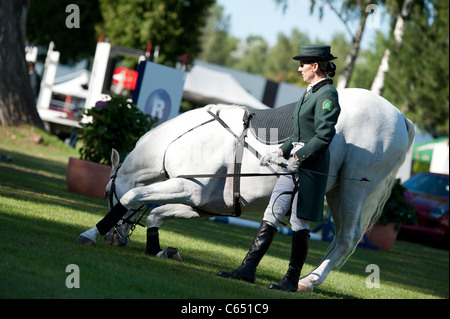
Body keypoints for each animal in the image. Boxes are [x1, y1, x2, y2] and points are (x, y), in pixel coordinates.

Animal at [74, 87, 414, 292]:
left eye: (106, 194)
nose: (116, 239)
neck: (182, 139)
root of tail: (400, 117)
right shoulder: (201, 204)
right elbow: (157, 215)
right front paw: (160, 249)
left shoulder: (186, 187)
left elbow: (133, 196)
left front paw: (90, 234)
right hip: (336, 191)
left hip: (354, 190)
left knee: (346, 238)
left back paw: (308, 281)